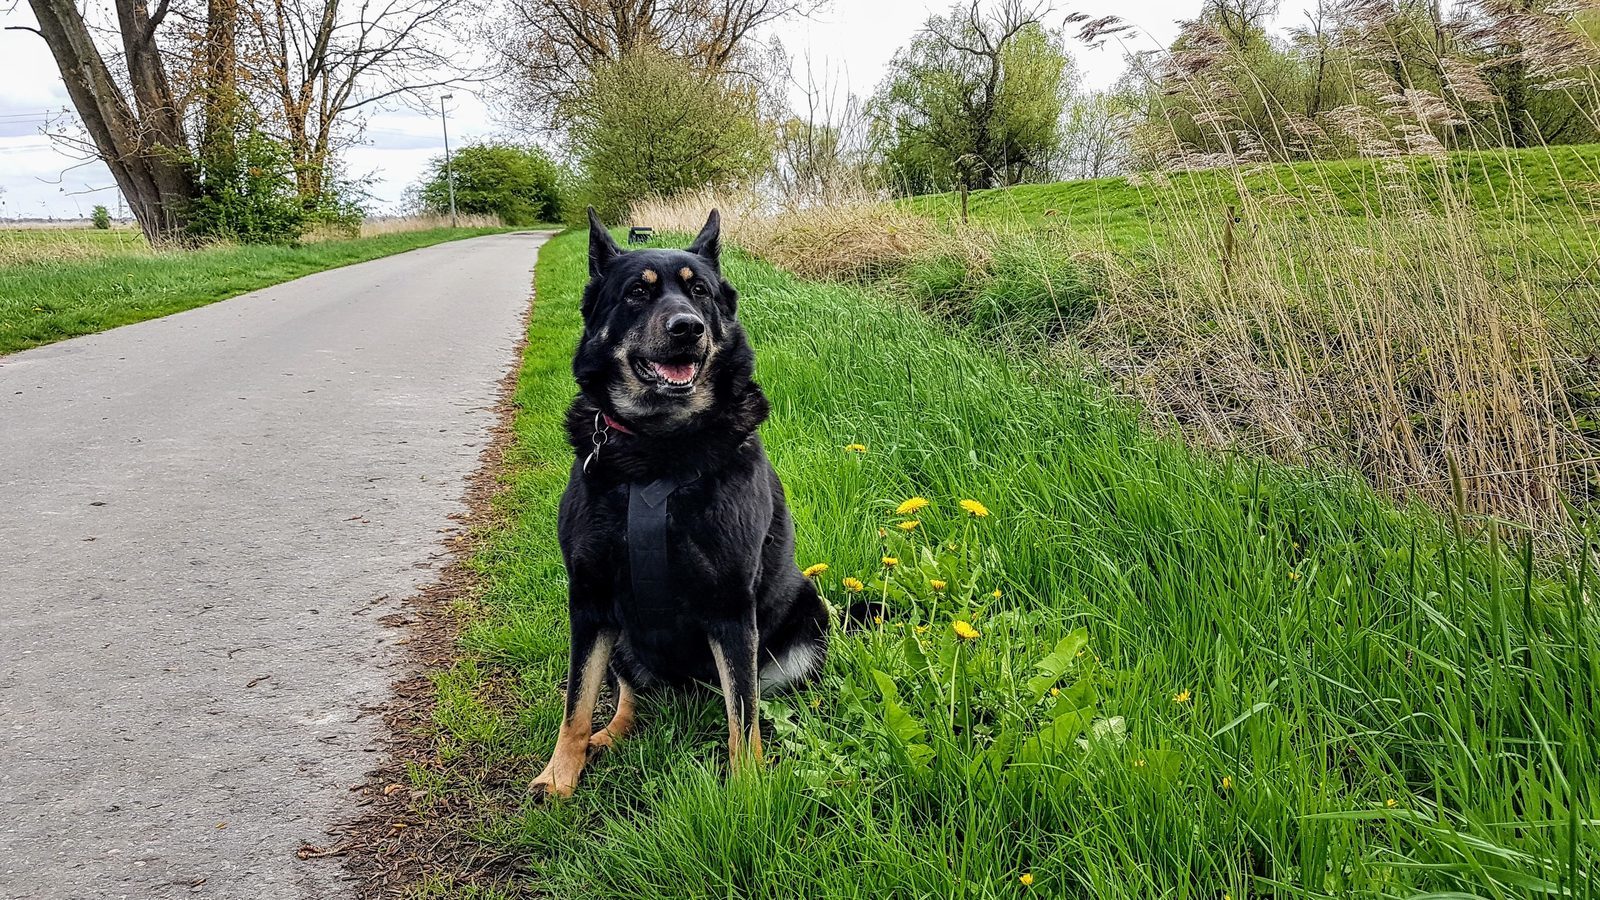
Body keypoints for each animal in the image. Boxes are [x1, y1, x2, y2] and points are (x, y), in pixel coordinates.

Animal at [534, 208, 838, 791]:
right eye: (637, 293)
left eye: (700, 293)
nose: (687, 328)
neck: (659, 447)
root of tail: (689, 689)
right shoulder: (589, 599)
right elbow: (576, 703)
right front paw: (559, 776)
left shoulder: (731, 607)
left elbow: (743, 714)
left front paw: (749, 788)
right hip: (621, 638)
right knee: (630, 695)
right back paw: (607, 737)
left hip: (806, 624)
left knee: (755, 699)